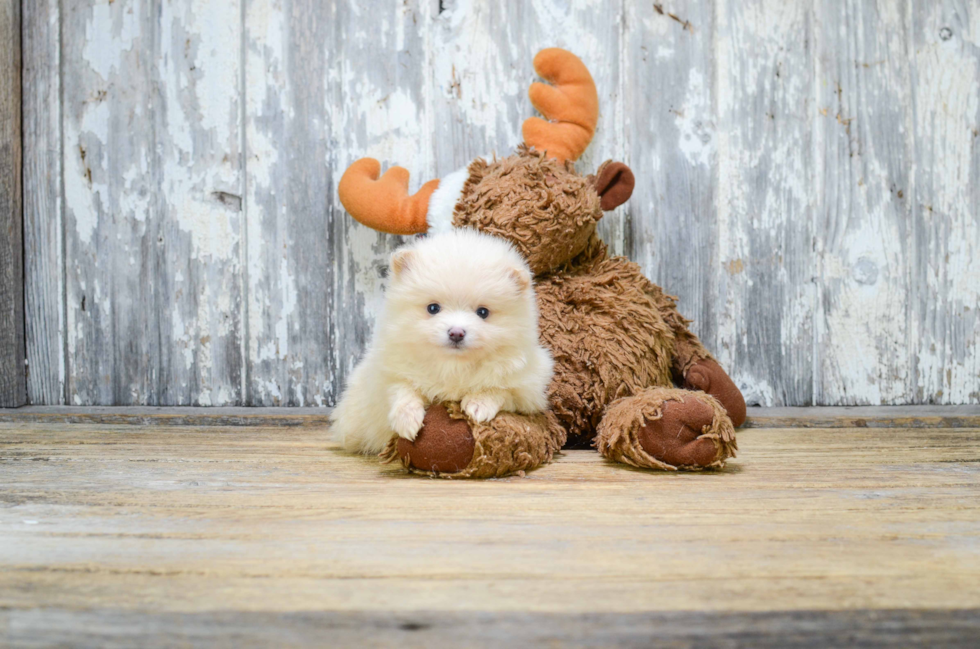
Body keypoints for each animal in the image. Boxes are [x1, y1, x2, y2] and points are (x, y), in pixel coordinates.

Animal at [334, 230, 556, 454]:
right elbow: (402, 389)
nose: (456, 333)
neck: (453, 366)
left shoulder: (528, 387)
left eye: (483, 312)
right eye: (433, 308)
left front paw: (479, 404)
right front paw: (407, 420)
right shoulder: (387, 373)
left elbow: (500, 389)